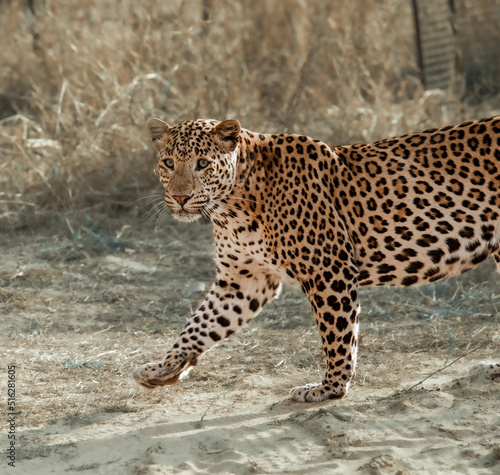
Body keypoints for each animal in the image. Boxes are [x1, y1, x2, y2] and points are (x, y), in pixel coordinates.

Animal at [133, 116, 500, 402]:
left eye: (202, 164)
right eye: (169, 164)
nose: (180, 198)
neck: (232, 206)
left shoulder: (328, 269)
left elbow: (337, 336)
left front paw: (330, 388)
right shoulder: (244, 280)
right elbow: (200, 325)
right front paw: (164, 368)